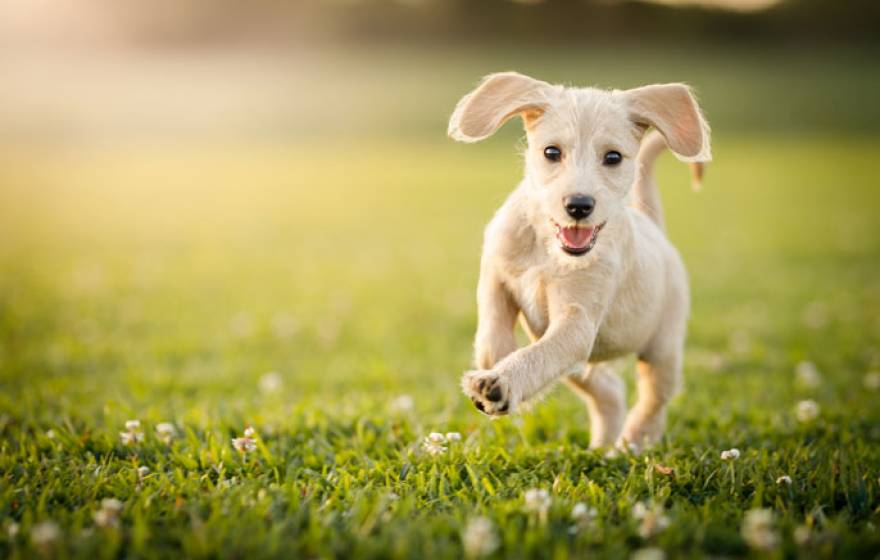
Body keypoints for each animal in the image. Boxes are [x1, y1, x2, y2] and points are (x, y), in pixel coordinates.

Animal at [450, 73, 712, 450]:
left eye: (613, 157)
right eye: (551, 152)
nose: (578, 205)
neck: (547, 249)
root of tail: (654, 227)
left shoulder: (577, 323)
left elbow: (537, 355)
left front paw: (501, 381)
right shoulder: (496, 277)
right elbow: (491, 333)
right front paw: (496, 364)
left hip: (662, 350)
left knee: (652, 401)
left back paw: (633, 443)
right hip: (583, 366)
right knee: (609, 390)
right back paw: (603, 449)